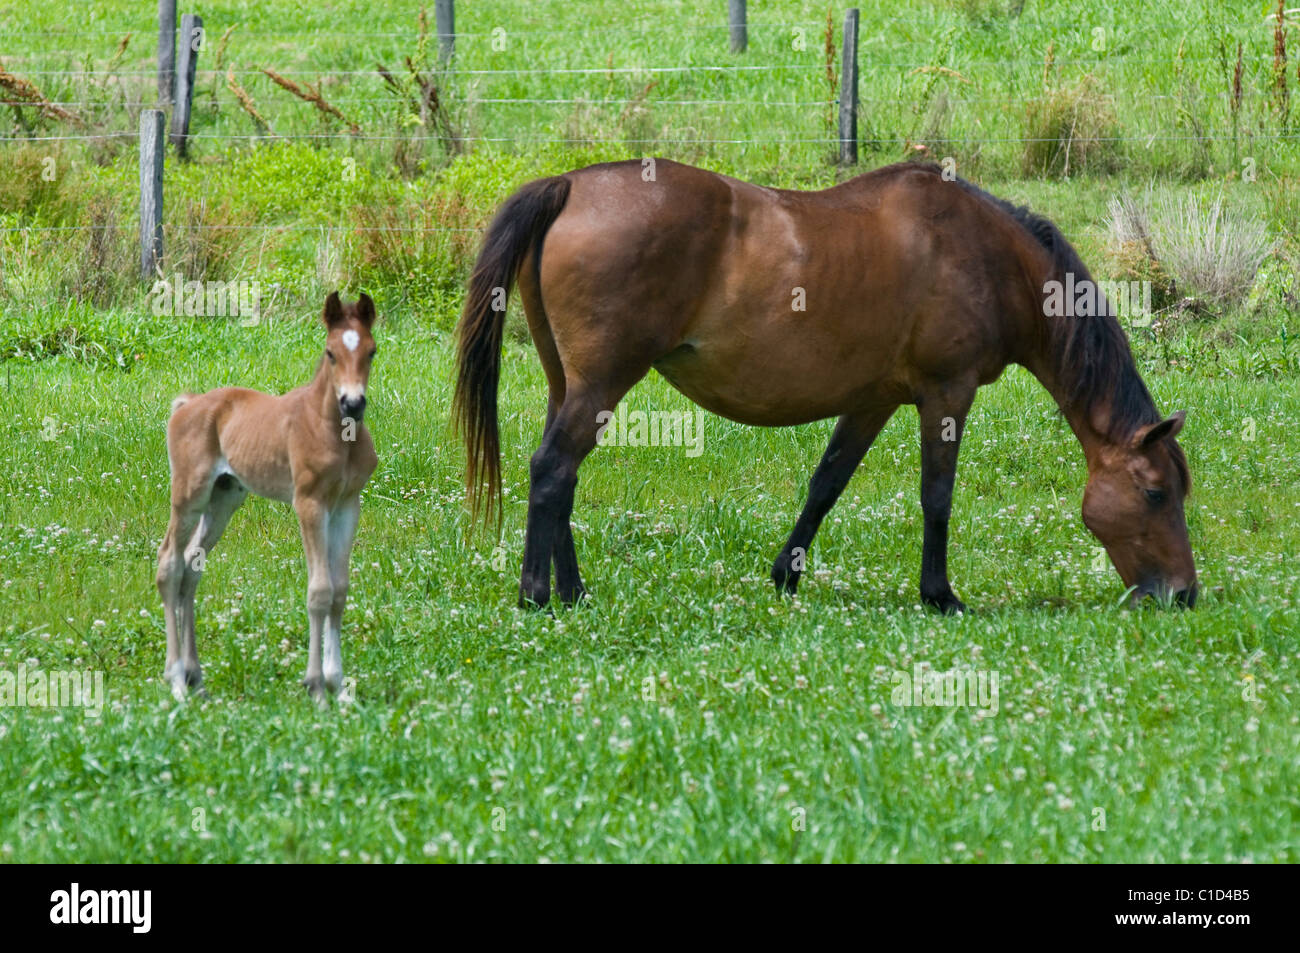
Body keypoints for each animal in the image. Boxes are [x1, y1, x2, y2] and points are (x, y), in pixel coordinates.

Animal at [156, 291, 379, 696]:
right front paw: (316, 686)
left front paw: (338, 686)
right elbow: (319, 591)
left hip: (224, 499)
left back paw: (196, 676)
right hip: (189, 495)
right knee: (169, 563)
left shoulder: (347, 505)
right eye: (330, 352)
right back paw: (177, 680)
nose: (353, 404)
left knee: (191, 567)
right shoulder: (309, 503)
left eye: (371, 351)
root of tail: (188, 403)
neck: (337, 434)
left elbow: (339, 591)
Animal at [452, 157, 1190, 608]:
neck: (984, 253)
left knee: (561, 476)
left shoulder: (873, 401)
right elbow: (937, 496)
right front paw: (939, 594)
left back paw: (572, 591)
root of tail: (570, 184)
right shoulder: (946, 393)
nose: (1183, 594)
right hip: (600, 385)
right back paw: (537, 596)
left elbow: (827, 483)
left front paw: (786, 575)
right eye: (1155, 492)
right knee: (552, 469)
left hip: (569, 384)